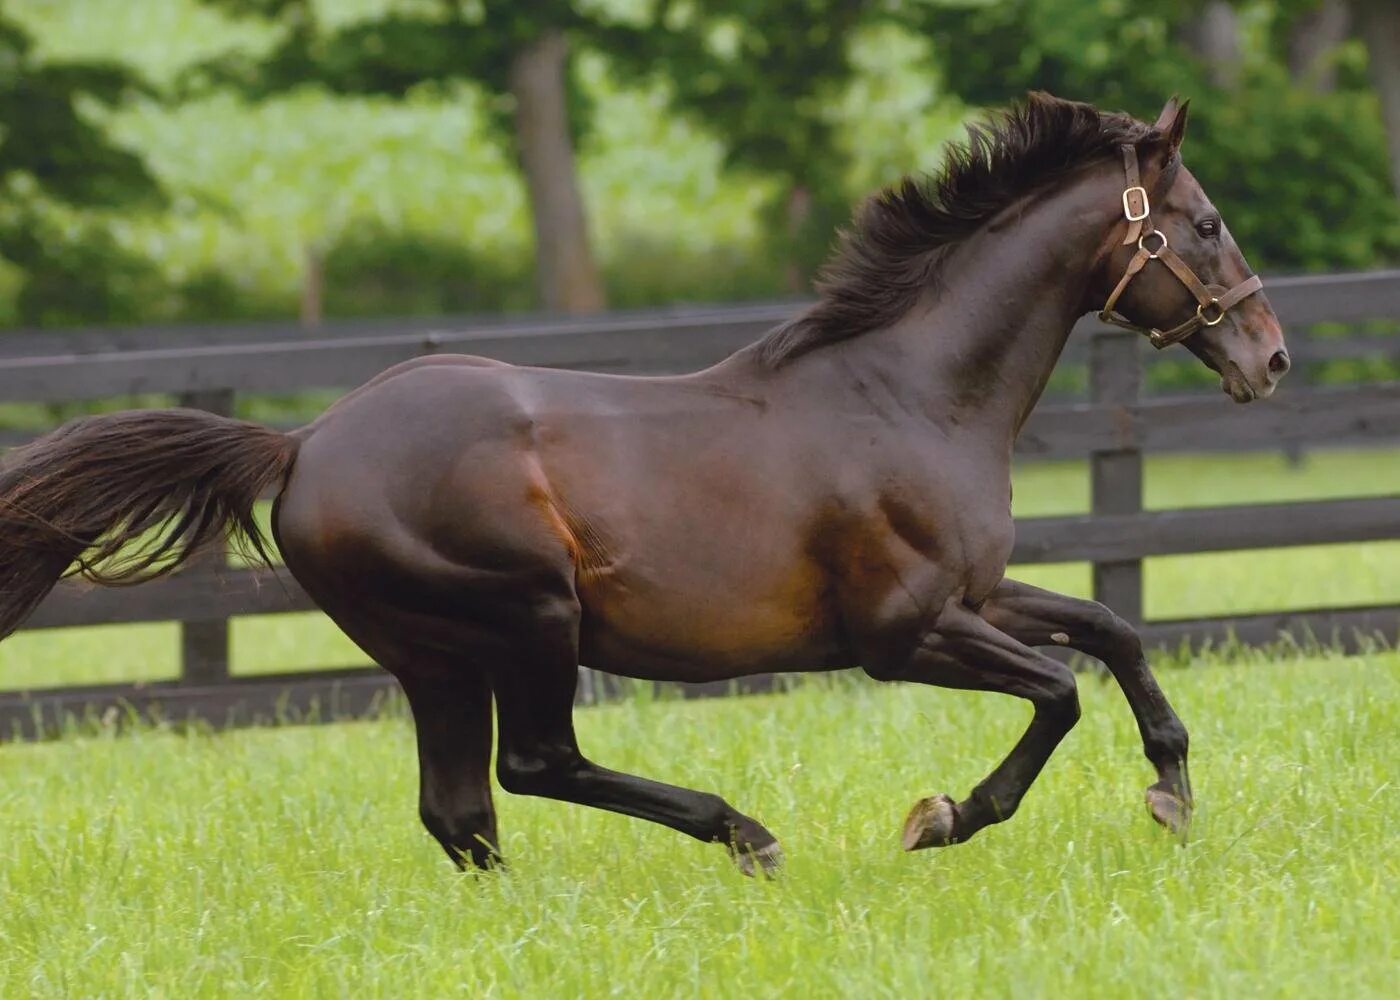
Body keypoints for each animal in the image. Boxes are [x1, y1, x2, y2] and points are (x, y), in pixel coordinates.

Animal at [0, 95, 1288, 873]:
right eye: (1203, 223)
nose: (1269, 357)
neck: (910, 392)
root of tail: (305, 442)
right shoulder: (900, 631)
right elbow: (1058, 689)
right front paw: (940, 817)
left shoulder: (972, 595)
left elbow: (1110, 626)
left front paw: (1170, 790)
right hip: (525, 615)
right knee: (532, 767)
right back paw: (742, 832)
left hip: (433, 656)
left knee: (460, 811)